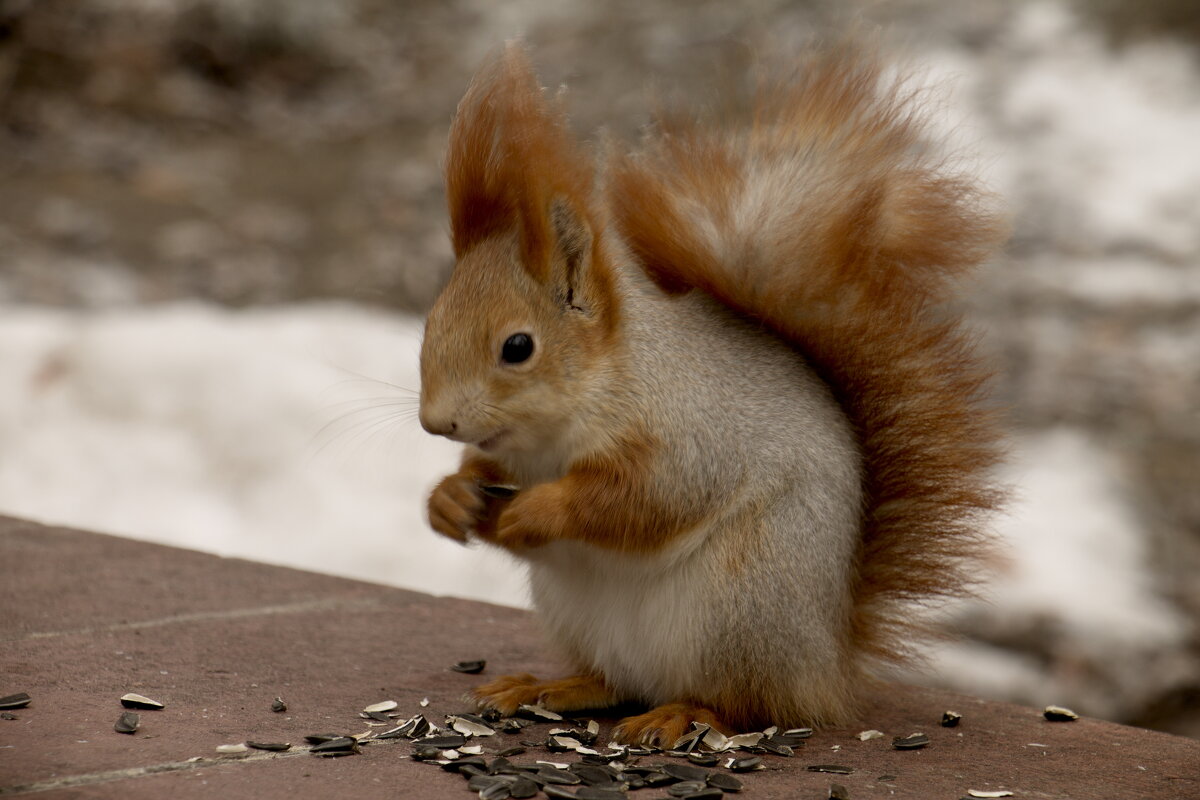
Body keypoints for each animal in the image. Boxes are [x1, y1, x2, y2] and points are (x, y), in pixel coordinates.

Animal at [417, 42, 1008, 743]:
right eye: (430, 322)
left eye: (517, 346)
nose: (435, 423)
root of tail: (827, 669)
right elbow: (484, 473)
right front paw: (450, 499)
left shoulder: (694, 433)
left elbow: (646, 497)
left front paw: (536, 511)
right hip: (582, 615)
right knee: (615, 682)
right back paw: (548, 686)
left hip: (740, 606)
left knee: (743, 703)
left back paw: (683, 713)